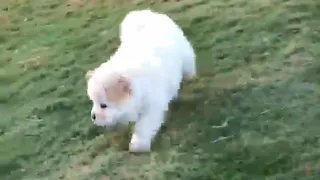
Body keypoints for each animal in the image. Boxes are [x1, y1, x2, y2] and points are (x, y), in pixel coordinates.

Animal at [85, 9, 195, 153]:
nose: (93, 116)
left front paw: (138, 145)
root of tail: (146, 15)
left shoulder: (152, 106)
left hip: (185, 56)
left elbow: (144, 126)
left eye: (103, 105)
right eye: (93, 102)